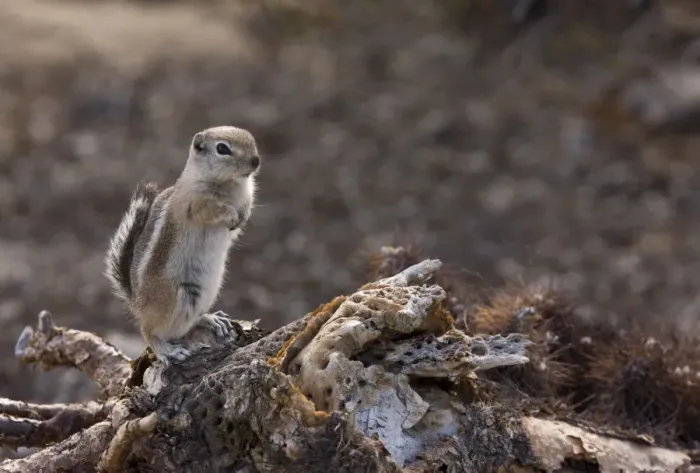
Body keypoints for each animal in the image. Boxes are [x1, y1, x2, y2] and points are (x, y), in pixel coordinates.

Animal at [104, 126, 261, 364]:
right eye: (222, 149)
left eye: (251, 139)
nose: (256, 161)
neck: (232, 183)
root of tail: (136, 303)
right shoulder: (196, 203)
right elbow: (214, 209)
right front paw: (232, 216)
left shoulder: (246, 197)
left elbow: (247, 207)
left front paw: (242, 217)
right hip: (176, 299)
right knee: (148, 330)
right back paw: (166, 350)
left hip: (206, 292)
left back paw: (211, 320)